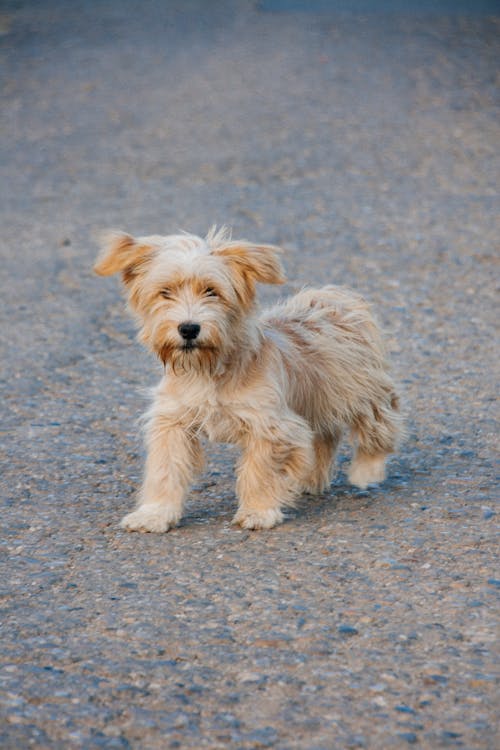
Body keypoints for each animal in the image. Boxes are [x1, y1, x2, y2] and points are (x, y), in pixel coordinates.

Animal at [94, 226, 402, 532]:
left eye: (212, 291)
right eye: (165, 292)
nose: (189, 328)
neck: (210, 369)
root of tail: (334, 297)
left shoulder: (270, 426)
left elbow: (260, 470)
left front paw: (258, 510)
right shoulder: (172, 422)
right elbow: (165, 469)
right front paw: (155, 513)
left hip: (360, 392)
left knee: (380, 423)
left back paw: (367, 471)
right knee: (324, 436)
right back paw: (310, 478)